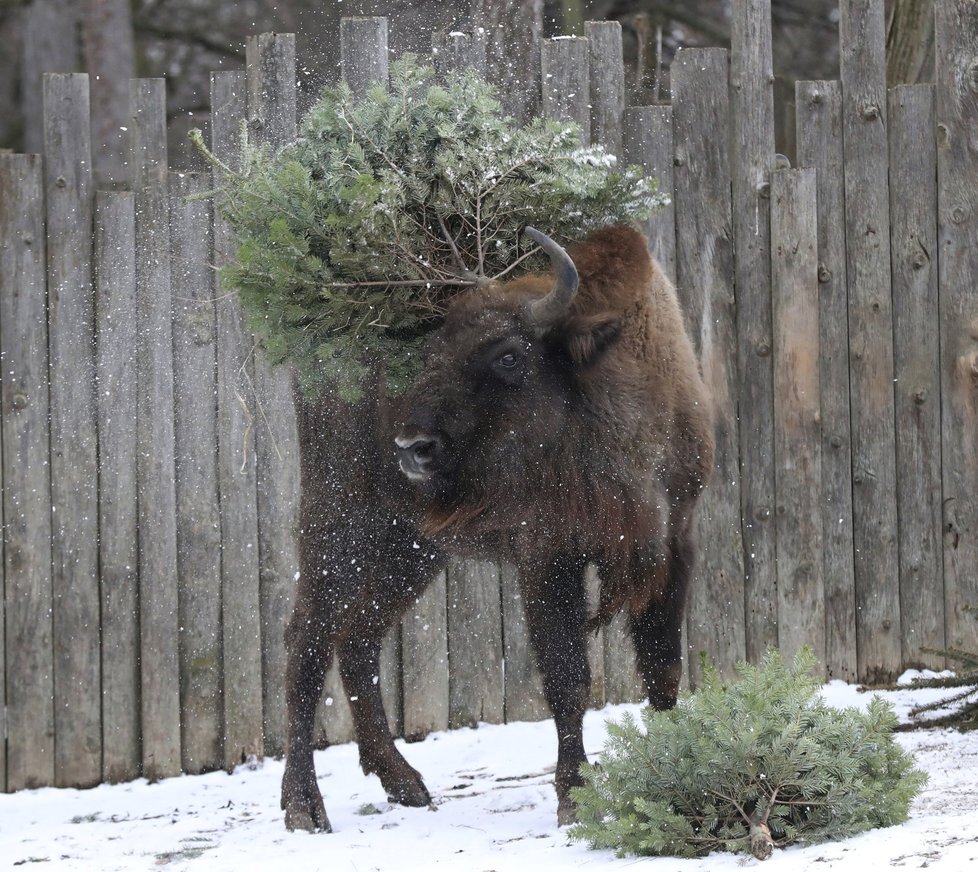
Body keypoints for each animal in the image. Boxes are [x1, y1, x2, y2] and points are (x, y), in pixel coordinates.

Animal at [278, 225, 712, 832]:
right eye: (434, 353)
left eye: (508, 355)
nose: (412, 446)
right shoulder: (548, 555)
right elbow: (567, 677)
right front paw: (575, 797)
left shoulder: (675, 542)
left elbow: (662, 665)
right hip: (340, 527)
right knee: (308, 640)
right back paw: (304, 806)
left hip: (411, 549)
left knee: (359, 638)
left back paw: (404, 783)